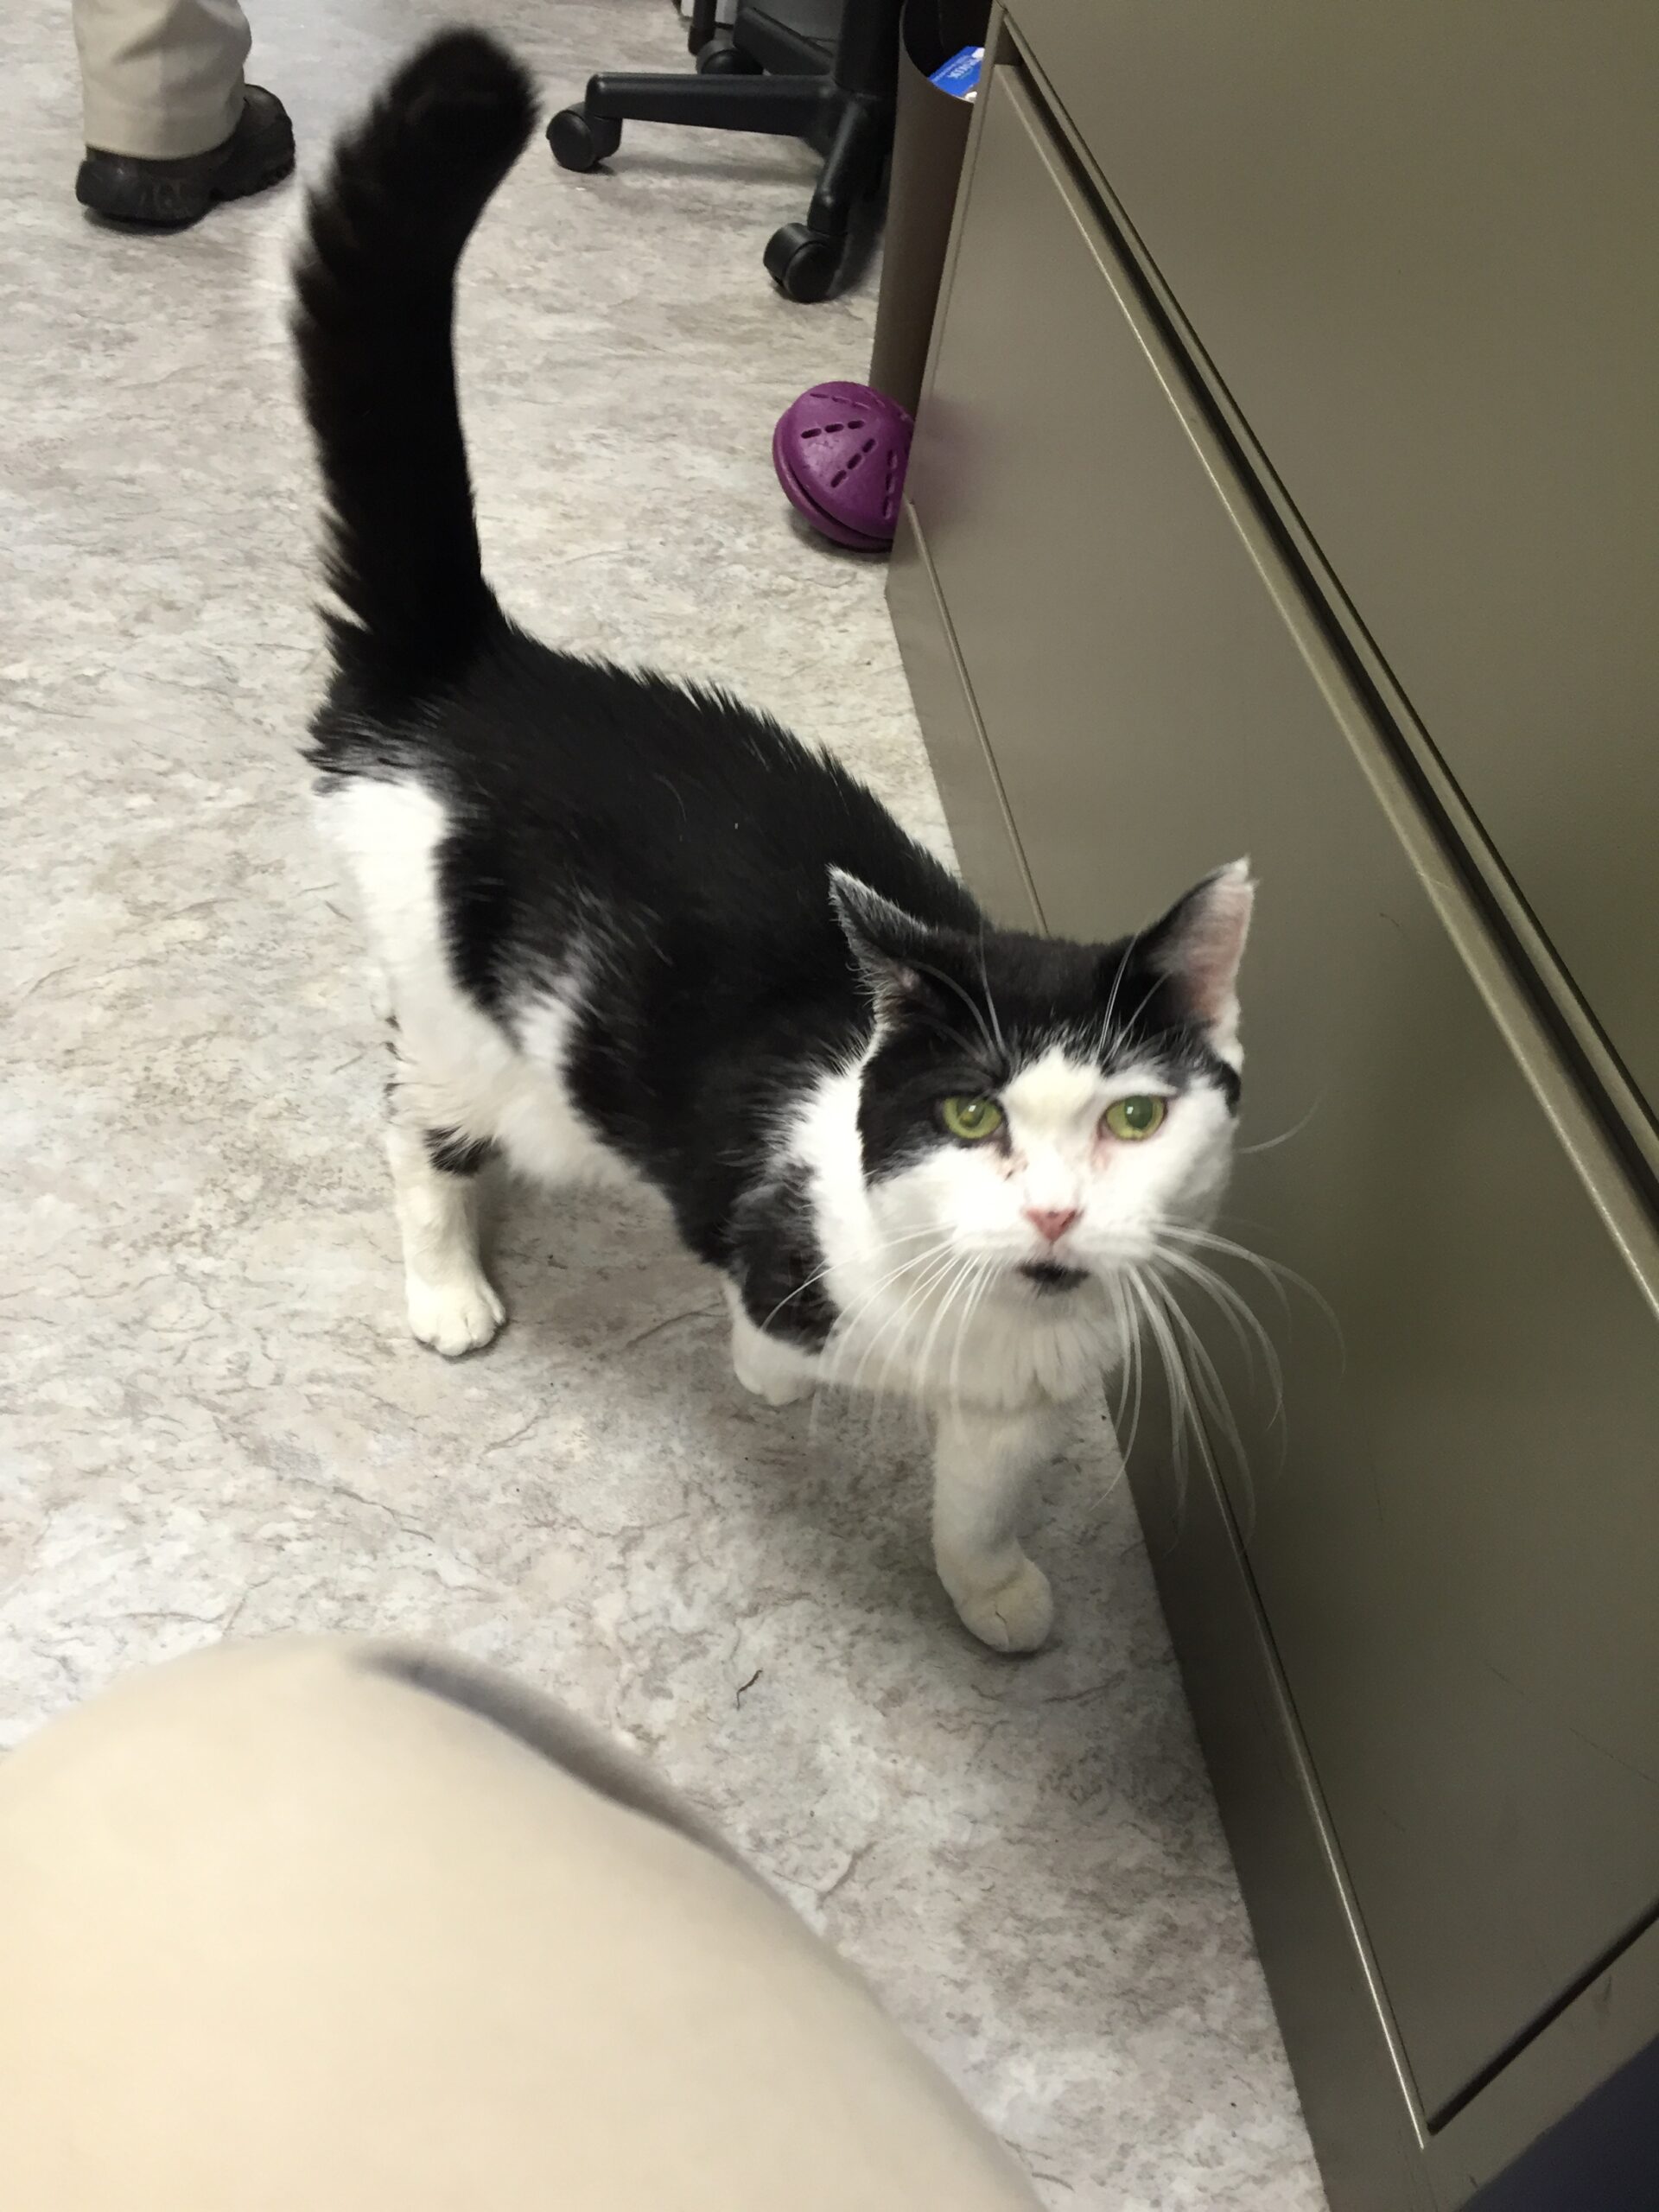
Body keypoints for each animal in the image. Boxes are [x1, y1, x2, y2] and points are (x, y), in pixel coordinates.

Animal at [291, 30, 1256, 1663]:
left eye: (1134, 1118)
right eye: (971, 1116)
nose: (1055, 1211)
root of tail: (479, 672)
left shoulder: (1033, 1389)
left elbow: (978, 1496)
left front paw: (990, 1591)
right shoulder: (780, 1249)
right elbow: (773, 1342)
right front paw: (772, 1382)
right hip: (477, 1034)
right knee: (413, 1122)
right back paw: (447, 1279)